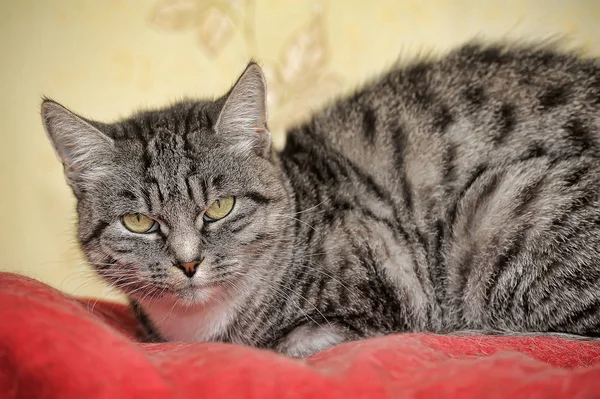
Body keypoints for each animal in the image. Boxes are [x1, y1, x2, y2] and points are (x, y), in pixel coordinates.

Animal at [43, 42, 600, 358]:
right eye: (139, 221)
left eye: (220, 207)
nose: (188, 262)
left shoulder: (383, 299)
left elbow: (302, 344)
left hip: (503, 203)